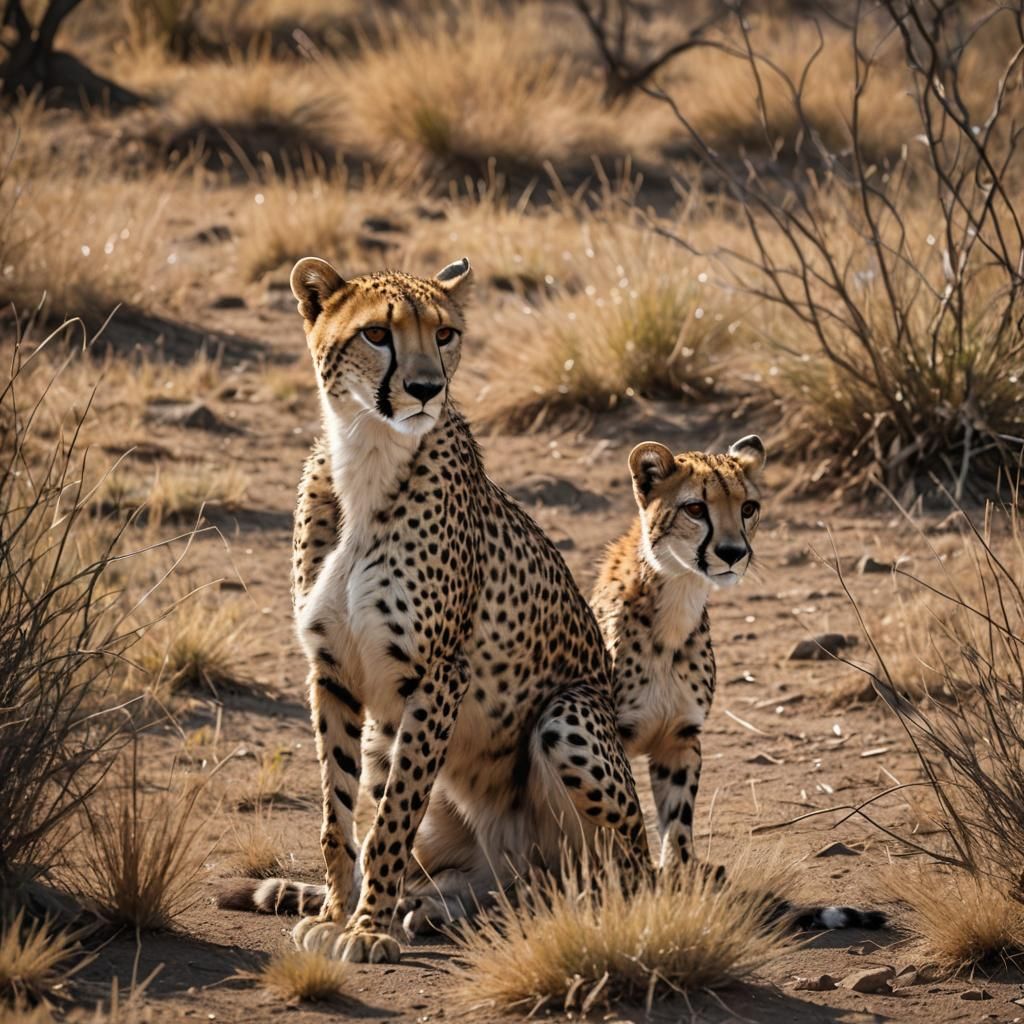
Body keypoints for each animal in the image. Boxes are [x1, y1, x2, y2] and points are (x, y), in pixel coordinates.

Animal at [219, 256, 652, 963]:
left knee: (610, 875)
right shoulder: (333, 671)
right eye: (376, 334)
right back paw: (431, 907)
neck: (367, 454)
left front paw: (367, 930)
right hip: (401, 753)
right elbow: (339, 816)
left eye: (445, 334)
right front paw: (338, 914)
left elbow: (392, 819)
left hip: (569, 718)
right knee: (485, 878)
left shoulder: (439, 675)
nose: (424, 388)